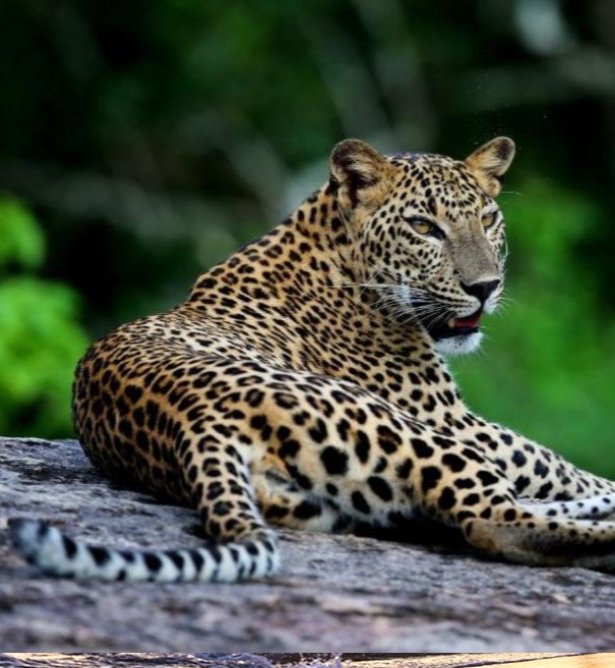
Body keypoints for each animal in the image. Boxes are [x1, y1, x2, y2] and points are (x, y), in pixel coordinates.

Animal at [10, 136, 615, 582]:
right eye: (424, 227)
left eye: (488, 219)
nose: (485, 287)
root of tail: (192, 424)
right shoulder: (450, 416)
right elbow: (549, 460)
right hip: (401, 428)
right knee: (492, 518)